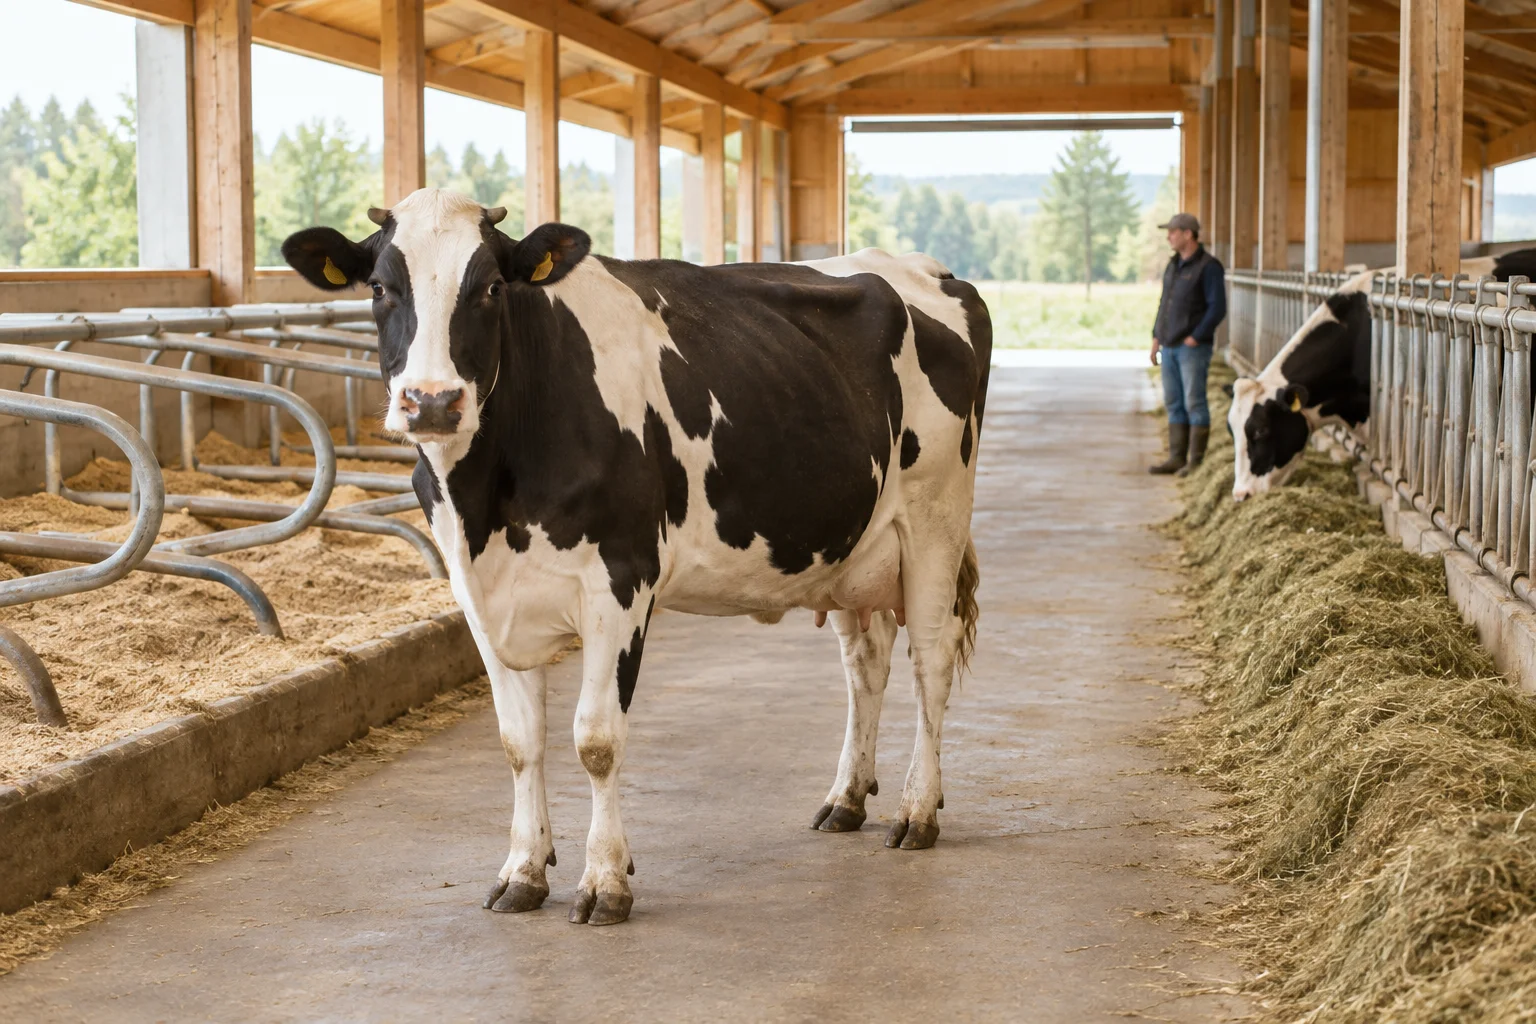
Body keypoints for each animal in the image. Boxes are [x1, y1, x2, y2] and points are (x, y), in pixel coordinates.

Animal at [282, 188, 990, 926]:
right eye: (380, 287)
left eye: (492, 287)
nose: (431, 401)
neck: (487, 498)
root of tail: (925, 268)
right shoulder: (479, 593)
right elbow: (517, 741)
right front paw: (523, 869)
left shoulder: (619, 581)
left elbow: (595, 738)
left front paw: (604, 881)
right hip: (854, 543)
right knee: (866, 663)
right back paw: (847, 797)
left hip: (935, 519)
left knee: (930, 660)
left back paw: (917, 811)